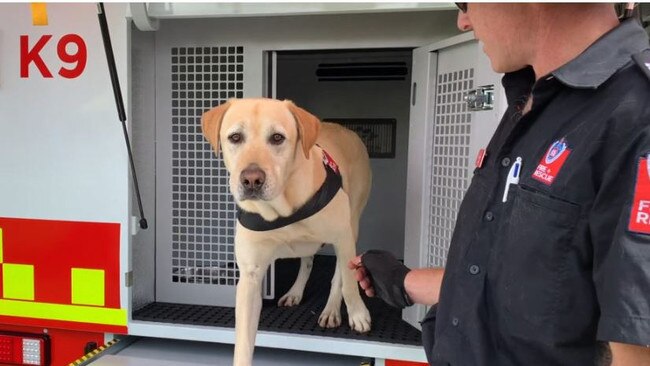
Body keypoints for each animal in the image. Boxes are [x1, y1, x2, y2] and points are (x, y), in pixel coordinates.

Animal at [202, 98, 372, 366]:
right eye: (235, 137)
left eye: (277, 138)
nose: (251, 179)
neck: (281, 209)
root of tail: (345, 130)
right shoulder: (250, 276)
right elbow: (243, 341)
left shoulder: (343, 237)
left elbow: (348, 282)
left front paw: (357, 313)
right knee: (307, 260)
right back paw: (295, 292)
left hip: (352, 224)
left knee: (339, 275)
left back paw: (331, 310)